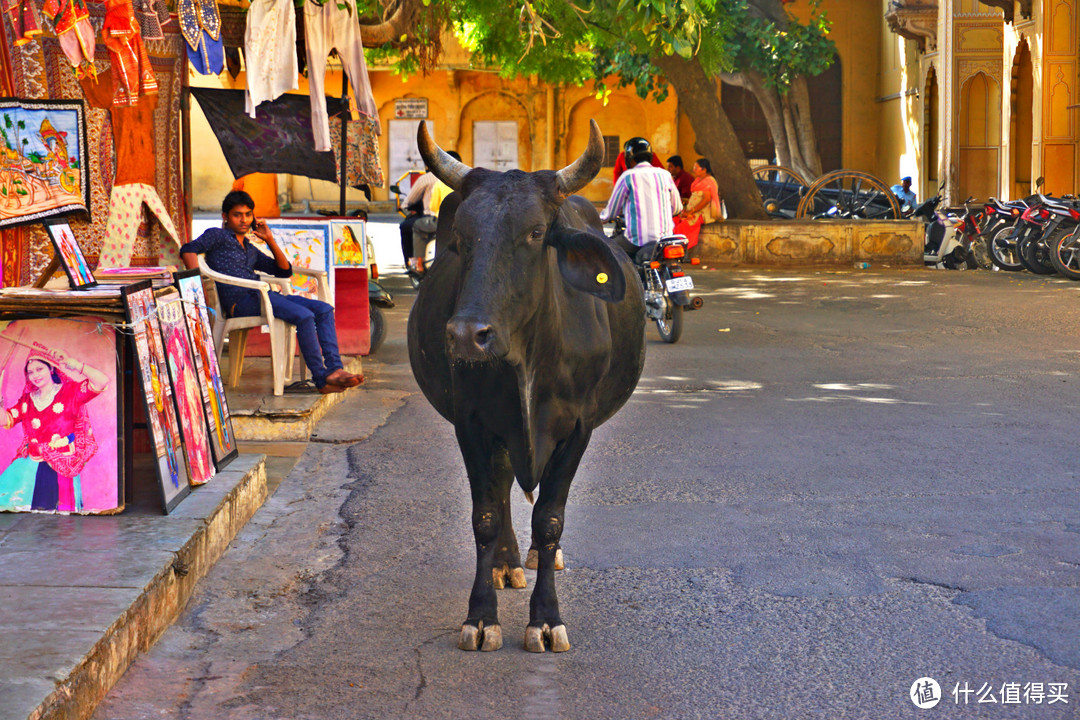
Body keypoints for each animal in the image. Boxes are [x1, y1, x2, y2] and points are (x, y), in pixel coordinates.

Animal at [403, 119, 639, 651]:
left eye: (535, 232)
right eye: (461, 236)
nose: (466, 335)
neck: (525, 359)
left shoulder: (578, 428)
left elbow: (550, 518)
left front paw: (546, 618)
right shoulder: (472, 424)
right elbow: (485, 515)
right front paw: (481, 616)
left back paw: (534, 558)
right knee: (505, 484)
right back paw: (508, 563)